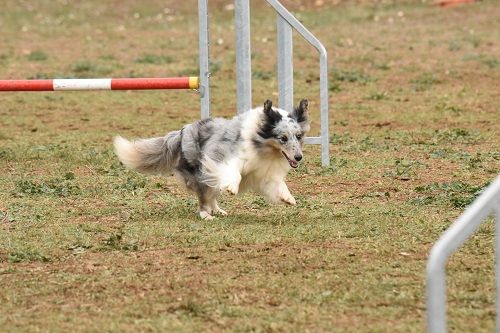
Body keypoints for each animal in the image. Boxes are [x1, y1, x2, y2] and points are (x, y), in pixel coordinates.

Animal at [113, 97, 308, 219]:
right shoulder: (224, 158)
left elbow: (278, 183)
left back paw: (217, 210)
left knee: (211, 194)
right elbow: (234, 172)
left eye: (298, 136)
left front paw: (287, 197)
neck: (263, 147)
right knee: (204, 196)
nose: (298, 157)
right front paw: (232, 188)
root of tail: (182, 131)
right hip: (199, 173)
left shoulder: (264, 171)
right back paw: (206, 214)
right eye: (283, 138)